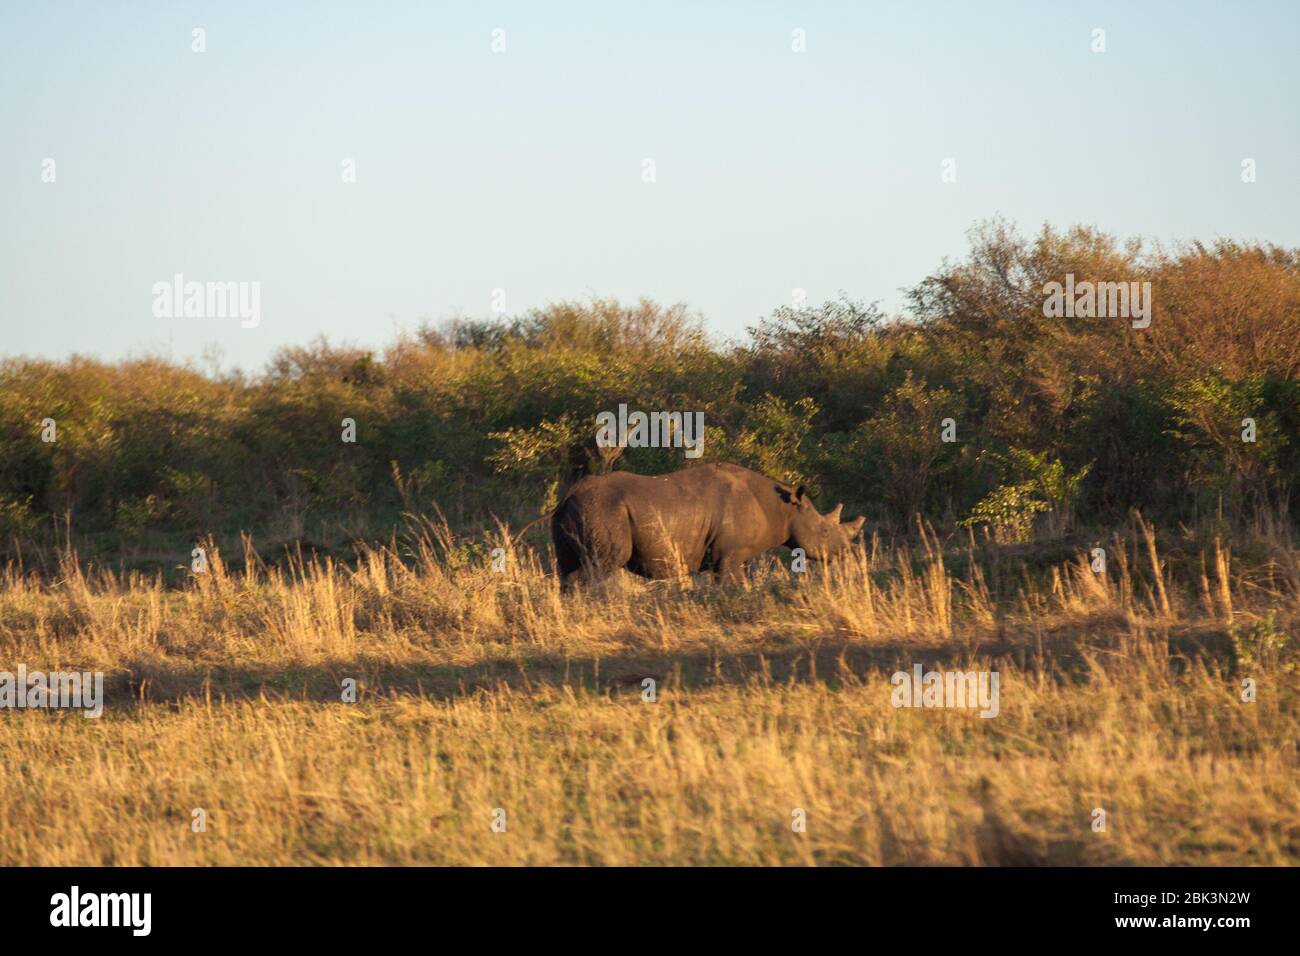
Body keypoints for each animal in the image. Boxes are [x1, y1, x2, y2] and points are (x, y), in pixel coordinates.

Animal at [548, 463, 863, 590]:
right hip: (603, 509)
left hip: (580, 510)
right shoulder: (730, 554)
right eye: (825, 531)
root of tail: (569, 495)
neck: (784, 509)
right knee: (600, 566)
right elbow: (736, 584)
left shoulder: (730, 554)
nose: (846, 554)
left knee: (568, 568)